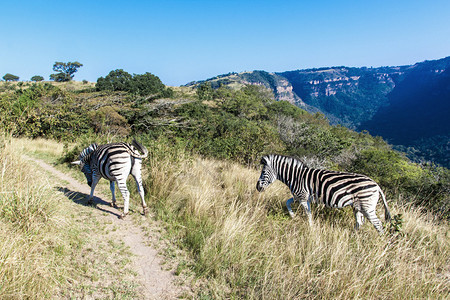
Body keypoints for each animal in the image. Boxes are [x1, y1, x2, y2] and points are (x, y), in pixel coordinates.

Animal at [256, 155, 390, 234]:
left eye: (263, 172)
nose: (257, 187)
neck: (295, 176)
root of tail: (376, 185)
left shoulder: (302, 196)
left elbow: (308, 214)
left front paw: (310, 228)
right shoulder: (299, 196)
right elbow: (287, 202)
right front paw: (293, 216)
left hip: (367, 207)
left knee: (378, 224)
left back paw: (380, 244)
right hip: (357, 207)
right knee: (359, 223)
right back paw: (353, 238)